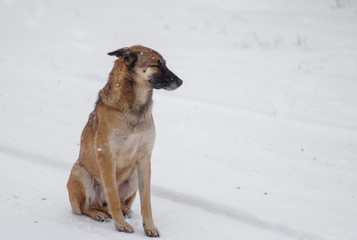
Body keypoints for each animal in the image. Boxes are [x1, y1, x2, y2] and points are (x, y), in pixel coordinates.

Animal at [66, 45, 182, 236]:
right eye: (157, 65)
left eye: (164, 63)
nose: (180, 81)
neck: (135, 108)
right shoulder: (106, 157)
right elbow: (112, 195)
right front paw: (120, 224)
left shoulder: (144, 159)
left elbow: (146, 201)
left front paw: (149, 226)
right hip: (80, 172)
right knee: (88, 207)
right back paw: (99, 214)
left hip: (133, 174)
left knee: (116, 204)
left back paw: (123, 210)